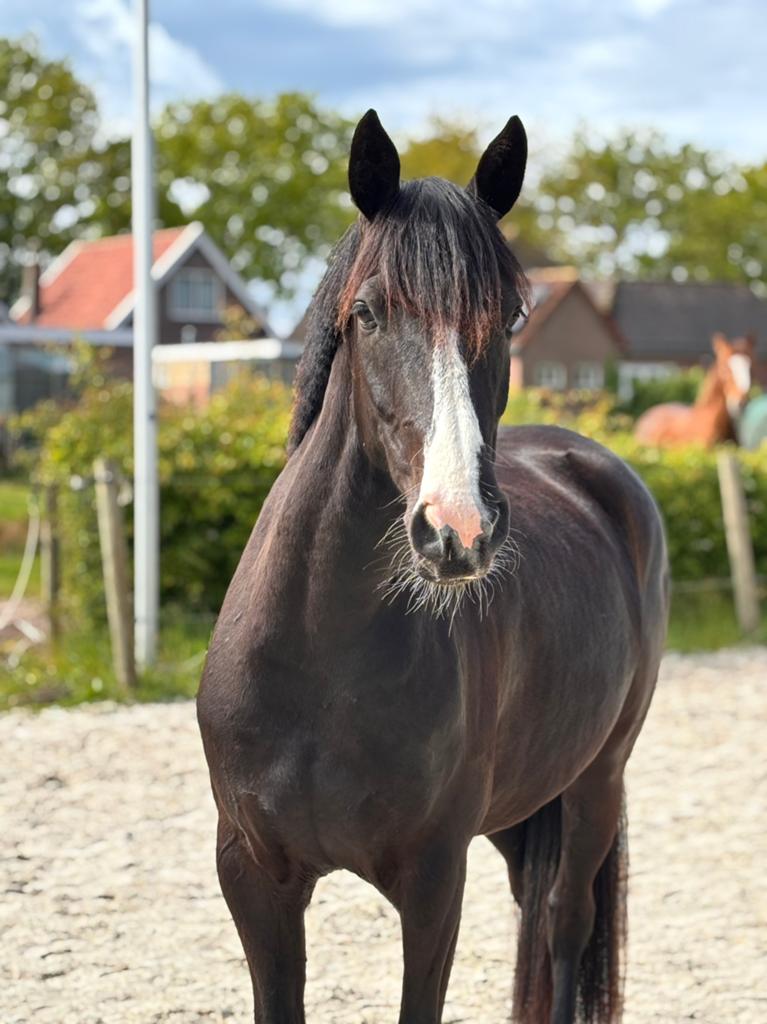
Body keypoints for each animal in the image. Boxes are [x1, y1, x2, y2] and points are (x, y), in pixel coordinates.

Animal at [197, 110, 669, 1024]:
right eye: (369, 312)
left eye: (511, 316)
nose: (458, 529)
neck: (320, 659)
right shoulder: (254, 879)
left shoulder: (432, 882)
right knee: (537, 907)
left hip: (598, 777)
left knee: (564, 919)